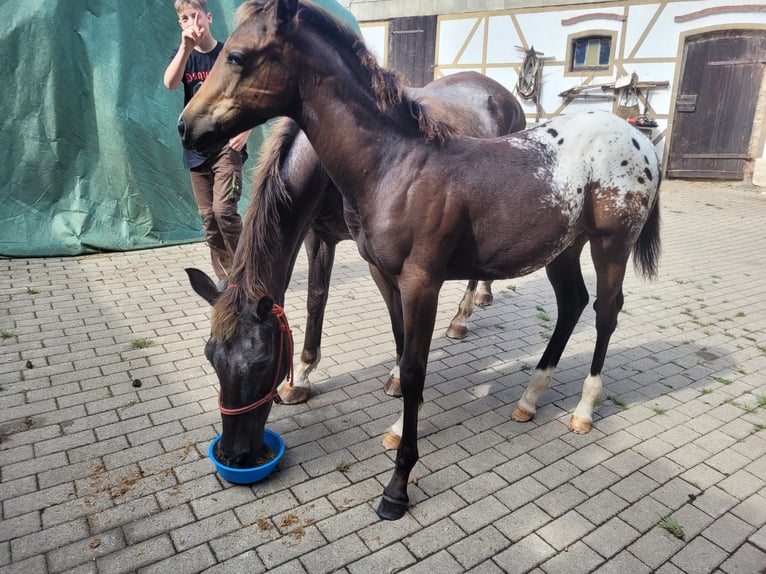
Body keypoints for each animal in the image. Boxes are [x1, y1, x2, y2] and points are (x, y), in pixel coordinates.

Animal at [186, 71, 528, 454]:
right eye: (211, 355)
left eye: (262, 362)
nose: (234, 455)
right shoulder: (317, 235)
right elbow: (316, 298)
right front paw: (302, 377)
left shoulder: (384, 263)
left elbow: (399, 321)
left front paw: (397, 380)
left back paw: (463, 315)